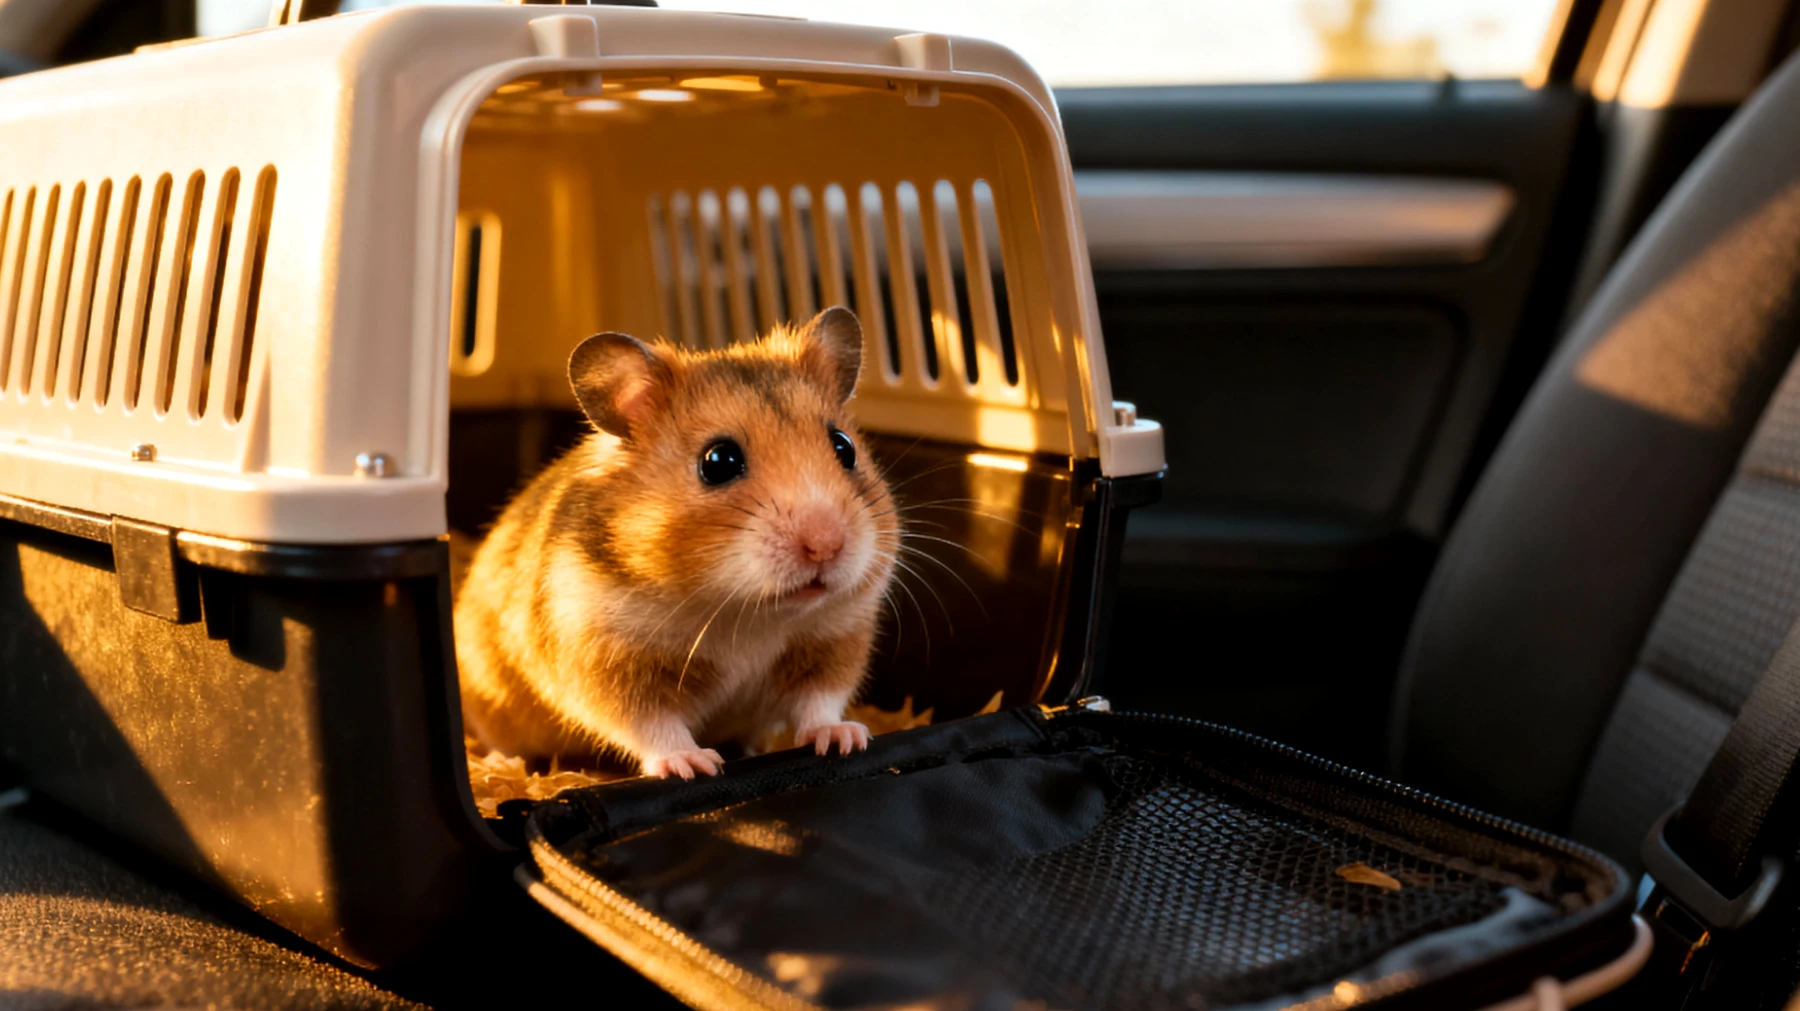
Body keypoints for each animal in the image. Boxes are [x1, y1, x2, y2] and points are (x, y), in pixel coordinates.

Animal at [454, 306, 900, 780]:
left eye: (844, 447)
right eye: (718, 461)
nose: (825, 546)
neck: (746, 611)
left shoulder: (835, 639)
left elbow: (819, 702)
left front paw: (846, 740)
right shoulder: (608, 661)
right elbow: (651, 724)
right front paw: (695, 765)